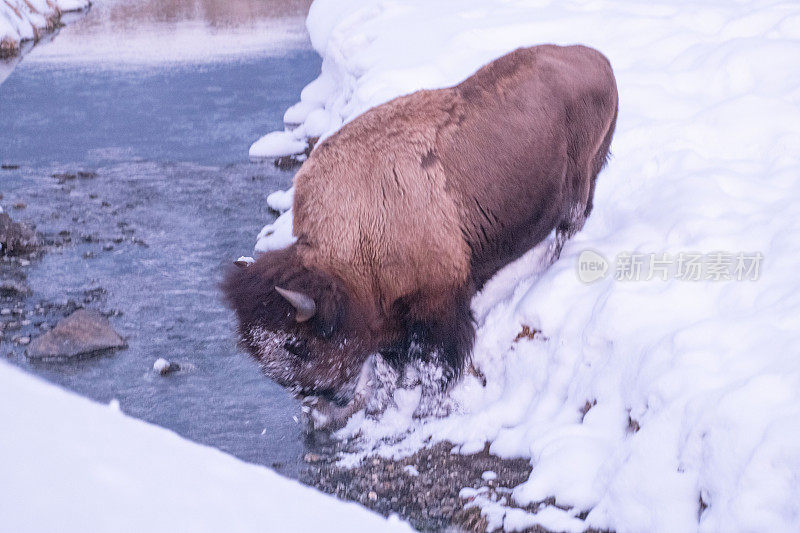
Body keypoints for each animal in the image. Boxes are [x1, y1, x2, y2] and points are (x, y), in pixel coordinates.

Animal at [225, 44, 620, 428]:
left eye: (297, 346)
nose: (317, 406)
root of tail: (598, 59)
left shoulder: (439, 305)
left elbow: (433, 366)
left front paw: (426, 411)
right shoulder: (390, 320)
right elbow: (389, 368)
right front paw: (380, 408)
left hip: (580, 182)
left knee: (570, 224)